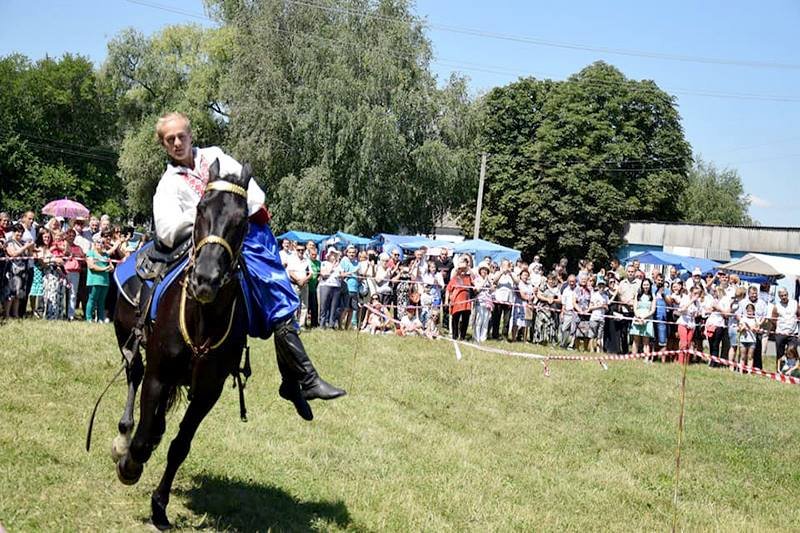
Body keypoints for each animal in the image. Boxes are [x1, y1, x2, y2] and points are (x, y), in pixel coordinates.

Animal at [111, 158, 250, 528]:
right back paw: (123, 437)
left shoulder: (207, 392)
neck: (202, 319)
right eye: (201, 209)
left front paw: (160, 506)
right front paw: (129, 465)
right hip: (127, 340)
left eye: (242, 220)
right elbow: (141, 441)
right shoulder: (158, 376)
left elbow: (180, 445)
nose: (205, 279)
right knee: (134, 376)